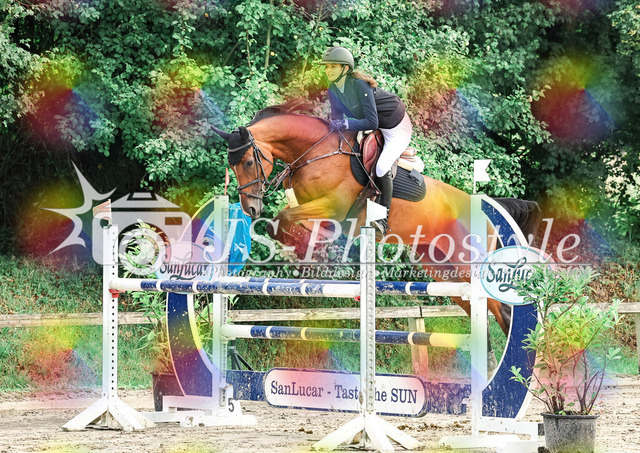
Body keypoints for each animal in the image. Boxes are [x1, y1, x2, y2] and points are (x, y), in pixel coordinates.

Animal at [211, 103, 541, 364]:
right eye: (232, 166)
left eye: (249, 162)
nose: (251, 208)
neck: (316, 152)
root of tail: (484, 208)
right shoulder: (310, 207)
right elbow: (283, 225)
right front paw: (311, 253)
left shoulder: (333, 207)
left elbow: (281, 221)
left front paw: (314, 254)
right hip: (442, 269)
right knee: (477, 310)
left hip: (465, 266)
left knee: (500, 310)